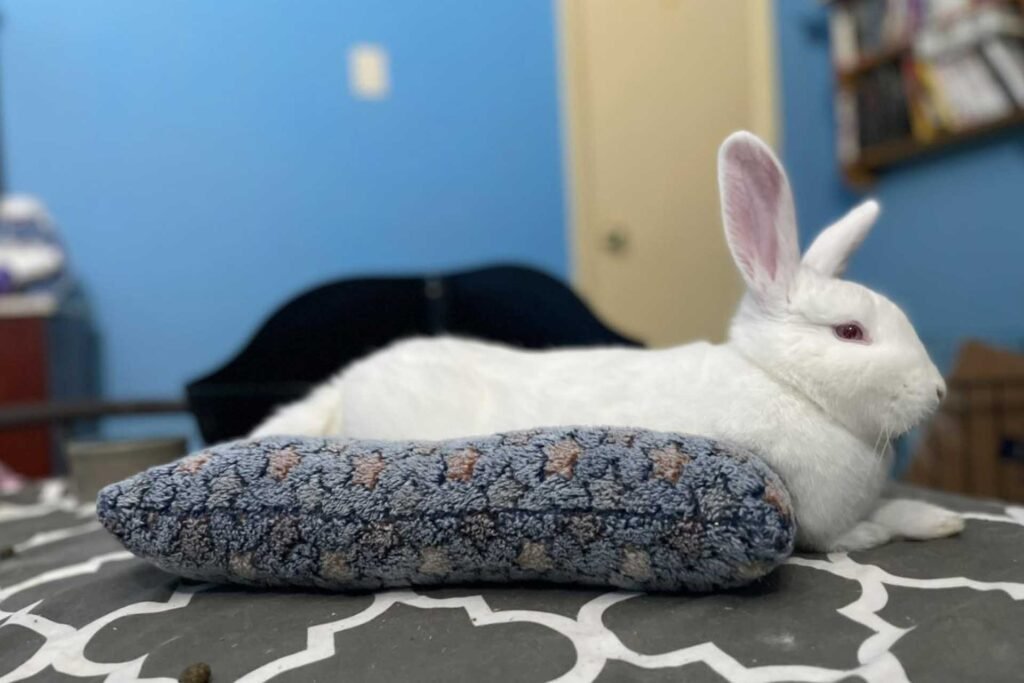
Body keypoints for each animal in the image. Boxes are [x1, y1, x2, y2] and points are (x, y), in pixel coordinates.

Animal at [252, 131, 963, 553]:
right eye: (849, 332)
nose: (938, 392)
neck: (781, 384)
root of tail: (345, 387)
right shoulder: (822, 527)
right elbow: (869, 533)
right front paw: (931, 521)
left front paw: (938, 517)